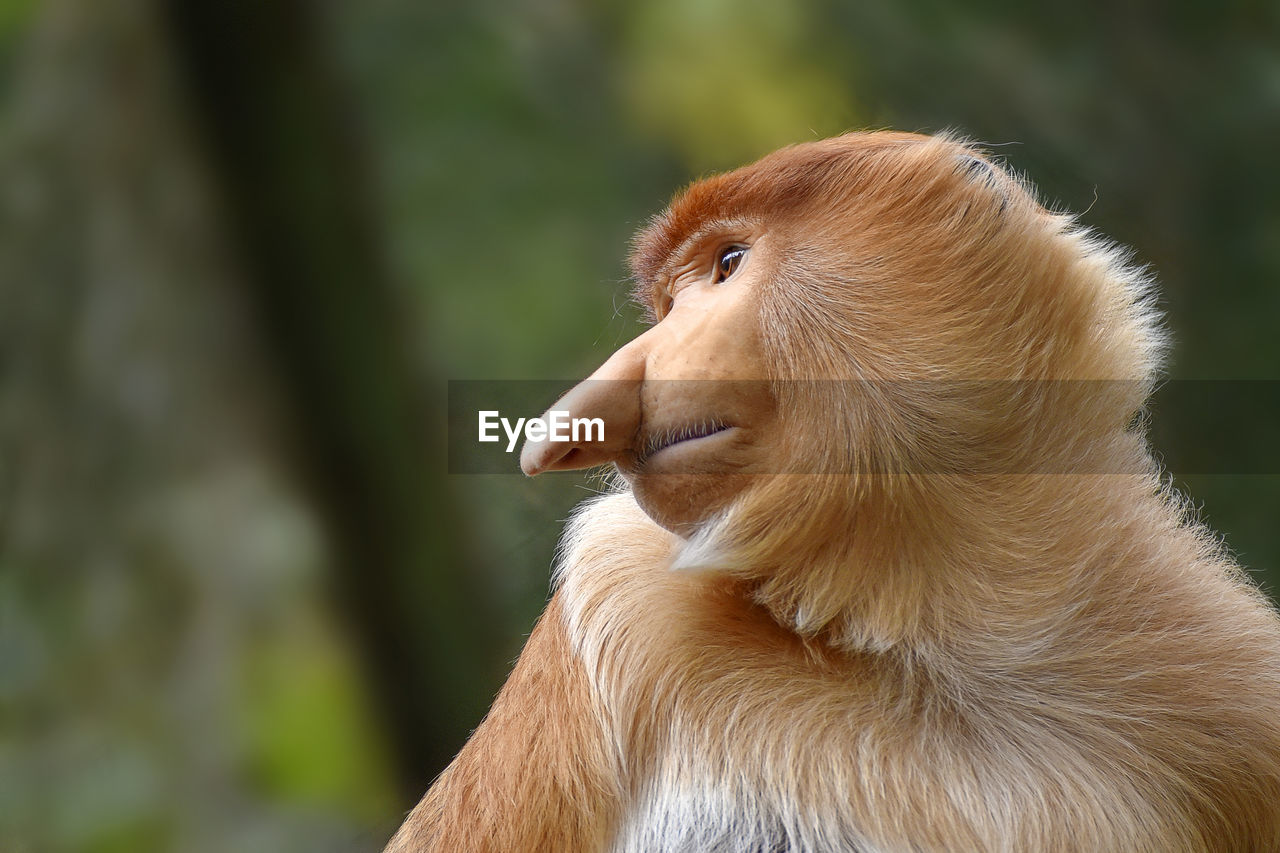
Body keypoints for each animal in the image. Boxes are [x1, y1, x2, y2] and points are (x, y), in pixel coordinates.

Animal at [384, 129, 1280, 845]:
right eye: (670, 302)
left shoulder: (1239, 692)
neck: (939, 643)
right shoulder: (622, 586)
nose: (631, 370)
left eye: (729, 264)